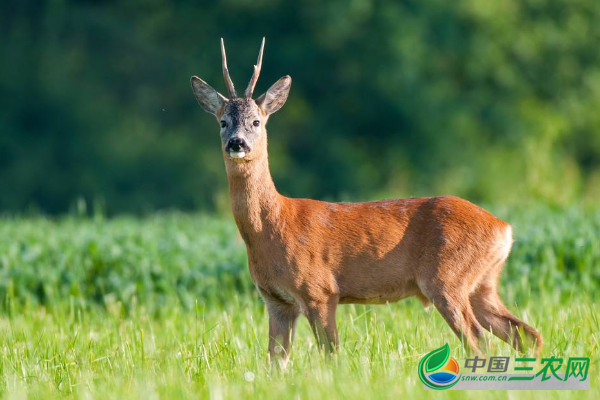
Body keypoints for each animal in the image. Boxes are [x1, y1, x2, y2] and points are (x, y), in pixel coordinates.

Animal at [191, 38, 544, 368]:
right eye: (223, 122)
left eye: (256, 122)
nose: (237, 143)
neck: (273, 227)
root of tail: (504, 228)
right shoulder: (277, 301)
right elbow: (275, 363)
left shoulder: (320, 290)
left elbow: (331, 354)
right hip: (482, 283)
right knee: (526, 334)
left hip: (448, 278)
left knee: (478, 340)